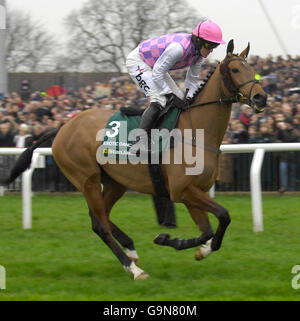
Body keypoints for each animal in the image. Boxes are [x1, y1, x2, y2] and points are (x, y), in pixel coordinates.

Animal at [2, 40, 268, 278]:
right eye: (235, 69)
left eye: (251, 69)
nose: (261, 98)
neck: (196, 131)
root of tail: (63, 126)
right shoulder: (182, 190)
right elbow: (224, 215)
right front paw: (170, 239)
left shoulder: (194, 191)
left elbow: (207, 231)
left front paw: (189, 246)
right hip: (86, 178)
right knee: (99, 224)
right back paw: (133, 268)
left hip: (115, 181)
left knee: (100, 215)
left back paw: (130, 248)